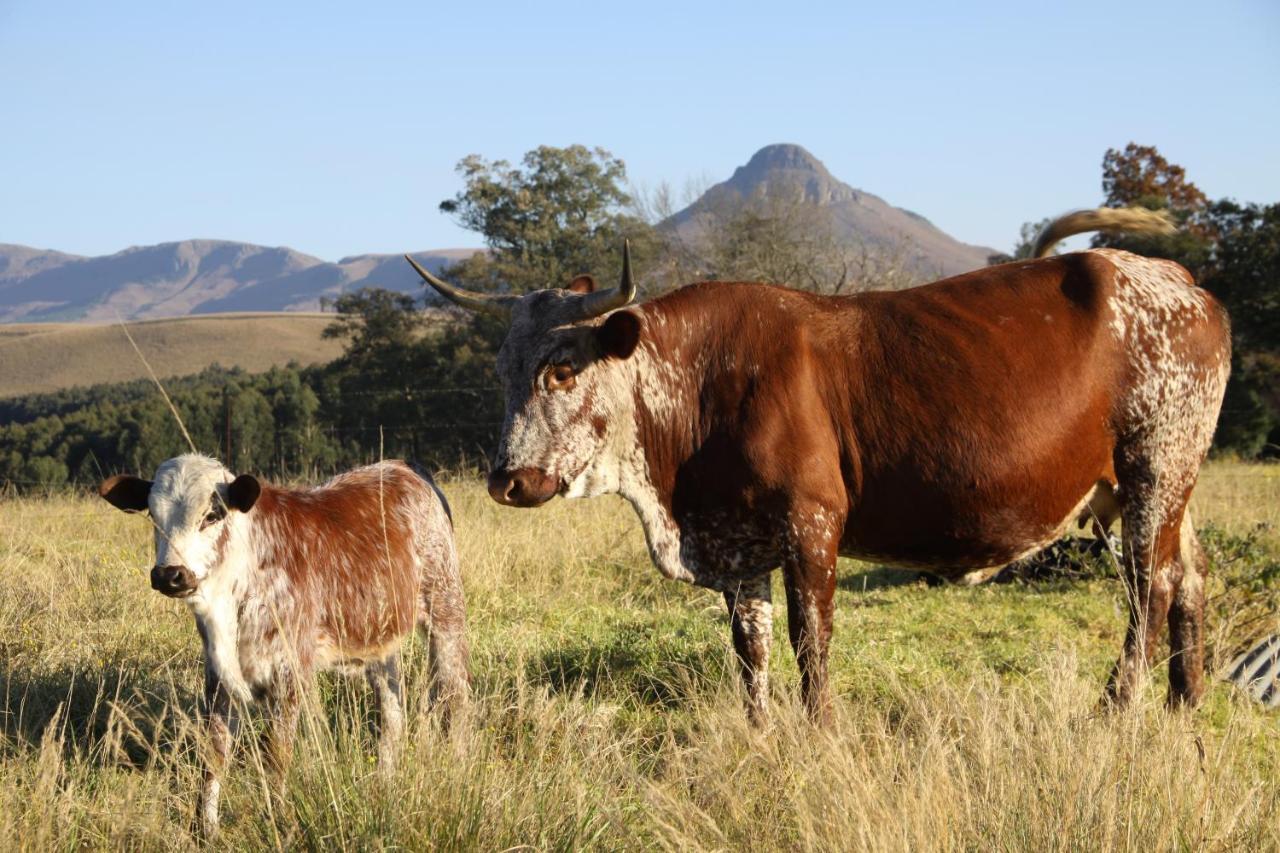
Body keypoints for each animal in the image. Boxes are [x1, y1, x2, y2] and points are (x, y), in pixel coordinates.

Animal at [101, 455, 471, 835]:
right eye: (153, 515)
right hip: (379, 638)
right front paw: (205, 829)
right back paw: (384, 783)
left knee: (456, 695)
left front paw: (276, 821)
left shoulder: (290, 671)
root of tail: (401, 466)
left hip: (445, 605)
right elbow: (214, 752)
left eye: (212, 515)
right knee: (392, 712)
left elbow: (276, 753)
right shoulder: (218, 675)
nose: (169, 575)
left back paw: (458, 769)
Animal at [407, 204, 1228, 717]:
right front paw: (760, 732)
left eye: (562, 369)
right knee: (1189, 575)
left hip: (1155, 467)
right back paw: (1184, 703)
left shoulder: (812, 523)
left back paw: (1120, 705)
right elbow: (752, 646)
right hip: (1145, 486)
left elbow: (811, 641)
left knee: (1150, 587)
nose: (508, 480)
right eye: (503, 370)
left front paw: (821, 729)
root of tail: (1176, 280)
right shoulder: (738, 545)